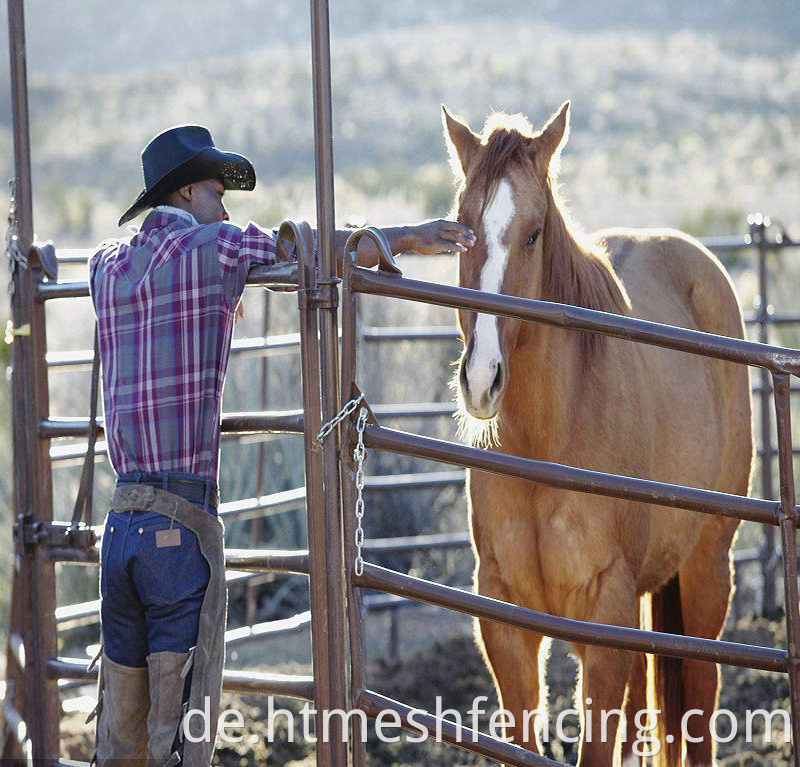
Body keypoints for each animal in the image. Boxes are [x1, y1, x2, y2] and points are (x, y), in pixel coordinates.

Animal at [440, 103, 752, 767]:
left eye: (534, 233)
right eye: (462, 226)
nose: (481, 379)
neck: (547, 444)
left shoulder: (605, 615)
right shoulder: (505, 621)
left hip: (707, 567)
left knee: (700, 699)